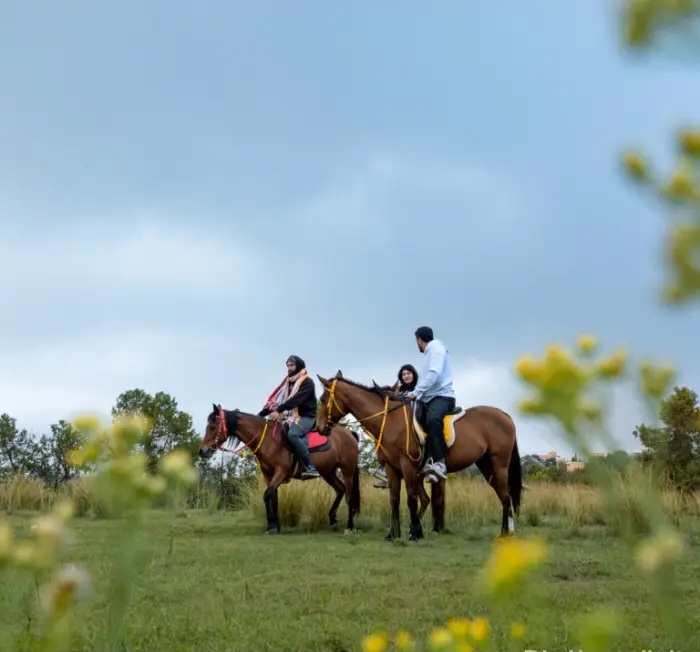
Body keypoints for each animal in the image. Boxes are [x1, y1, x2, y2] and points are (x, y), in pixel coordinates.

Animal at [197, 402, 360, 536]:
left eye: (212, 426)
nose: (202, 450)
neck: (269, 440)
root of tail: (349, 434)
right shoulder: (269, 475)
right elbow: (273, 498)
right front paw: (276, 526)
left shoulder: (281, 472)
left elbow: (267, 495)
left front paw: (271, 526)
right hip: (328, 472)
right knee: (340, 489)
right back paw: (332, 519)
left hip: (347, 470)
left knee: (349, 496)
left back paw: (350, 526)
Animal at [314, 370, 524, 544]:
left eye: (323, 399)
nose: (320, 427)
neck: (390, 420)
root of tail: (504, 415)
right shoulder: (392, 468)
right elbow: (394, 499)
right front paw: (393, 534)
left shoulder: (408, 466)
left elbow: (411, 498)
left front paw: (415, 533)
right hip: (486, 465)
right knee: (503, 495)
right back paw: (507, 531)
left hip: (499, 465)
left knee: (506, 497)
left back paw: (504, 533)